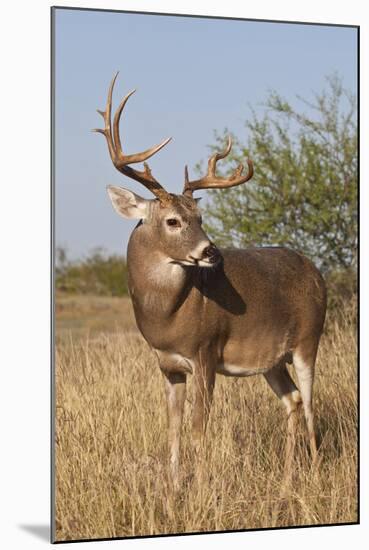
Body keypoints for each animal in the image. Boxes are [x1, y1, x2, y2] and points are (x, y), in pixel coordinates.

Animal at [94, 74, 324, 492]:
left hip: (308, 339)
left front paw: (200, 489)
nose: (210, 251)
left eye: (200, 217)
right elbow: (173, 427)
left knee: (312, 402)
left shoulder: (205, 352)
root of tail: (316, 271)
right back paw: (287, 480)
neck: (168, 316)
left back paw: (313, 472)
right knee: (293, 400)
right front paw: (173, 489)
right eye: (173, 220)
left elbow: (199, 427)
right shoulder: (167, 364)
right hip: (272, 359)